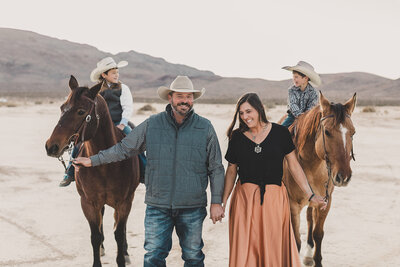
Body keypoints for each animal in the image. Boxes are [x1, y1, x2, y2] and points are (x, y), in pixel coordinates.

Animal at [44, 76, 139, 267]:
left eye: (81, 111)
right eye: (62, 108)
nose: (51, 146)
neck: (104, 163)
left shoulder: (124, 202)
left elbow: (119, 234)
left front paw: (122, 257)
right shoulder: (88, 202)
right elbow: (95, 236)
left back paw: (125, 252)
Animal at [282, 92, 356, 267]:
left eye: (353, 133)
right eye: (327, 132)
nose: (343, 176)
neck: (311, 165)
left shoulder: (325, 202)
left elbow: (318, 234)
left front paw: (316, 259)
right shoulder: (293, 205)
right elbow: (295, 241)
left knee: (310, 219)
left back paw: (308, 255)